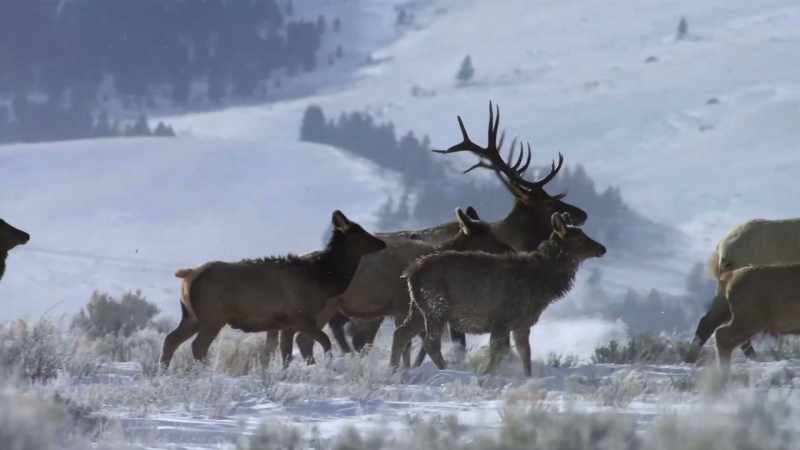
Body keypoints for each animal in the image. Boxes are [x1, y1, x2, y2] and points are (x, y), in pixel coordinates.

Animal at [159, 210, 386, 369]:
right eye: (360, 232)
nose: (381, 242)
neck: (323, 280)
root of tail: (188, 275)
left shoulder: (284, 323)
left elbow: (285, 354)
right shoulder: (300, 316)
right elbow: (325, 341)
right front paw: (328, 366)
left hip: (191, 315)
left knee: (171, 339)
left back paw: (163, 371)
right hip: (212, 316)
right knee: (197, 346)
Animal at [395, 213, 605, 376]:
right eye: (579, 237)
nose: (602, 248)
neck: (542, 283)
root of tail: (410, 273)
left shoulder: (521, 322)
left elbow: (525, 352)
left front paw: (527, 378)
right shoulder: (503, 317)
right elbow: (499, 352)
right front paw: (486, 375)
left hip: (418, 308)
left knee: (401, 333)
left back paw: (393, 370)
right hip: (436, 306)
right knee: (430, 343)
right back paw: (448, 371)